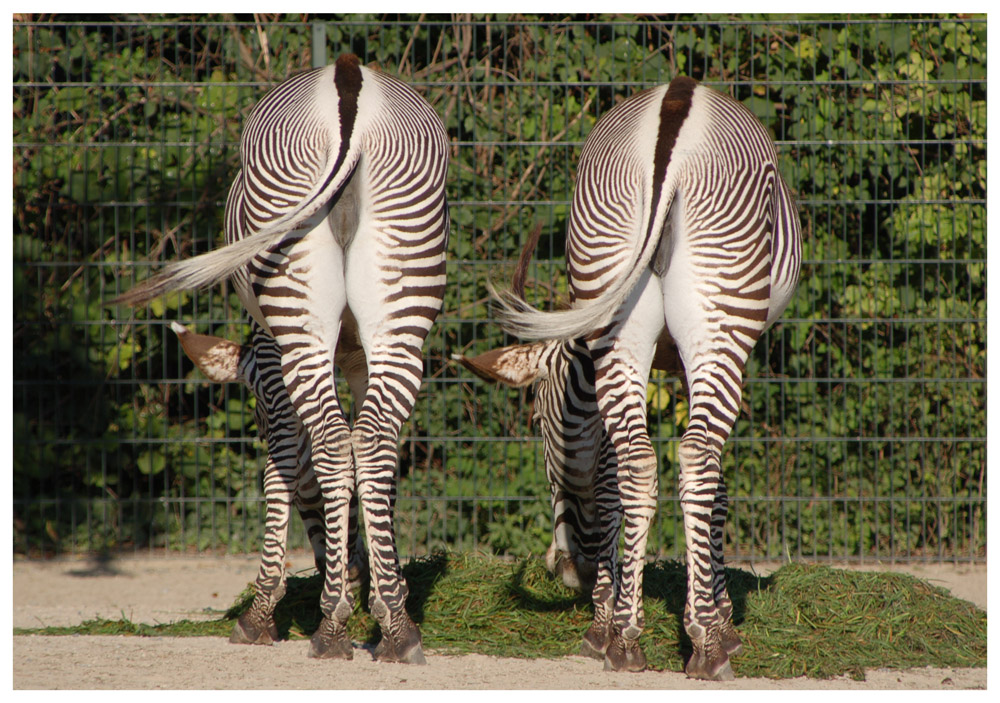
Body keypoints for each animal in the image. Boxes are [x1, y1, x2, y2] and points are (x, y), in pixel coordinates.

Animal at [112, 52, 450, 664]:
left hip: (292, 300)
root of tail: (348, 82)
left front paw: (265, 610)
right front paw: (378, 586)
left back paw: (334, 624)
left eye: (258, 413)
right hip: (403, 301)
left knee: (336, 441)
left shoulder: (270, 357)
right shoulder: (355, 357)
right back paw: (396, 628)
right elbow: (376, 463)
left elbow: (283, 465)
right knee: (371, 439)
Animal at [464, 74, 800, 680]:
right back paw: (708, 645)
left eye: (535, 421)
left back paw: (624, 640)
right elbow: (716, 484)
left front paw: (604, 624)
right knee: (695, 459)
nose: (565, 569)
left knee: (638, 465)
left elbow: (611, 487)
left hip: (612, 304)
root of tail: (675, 106)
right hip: (721, 319)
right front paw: (720, 616)